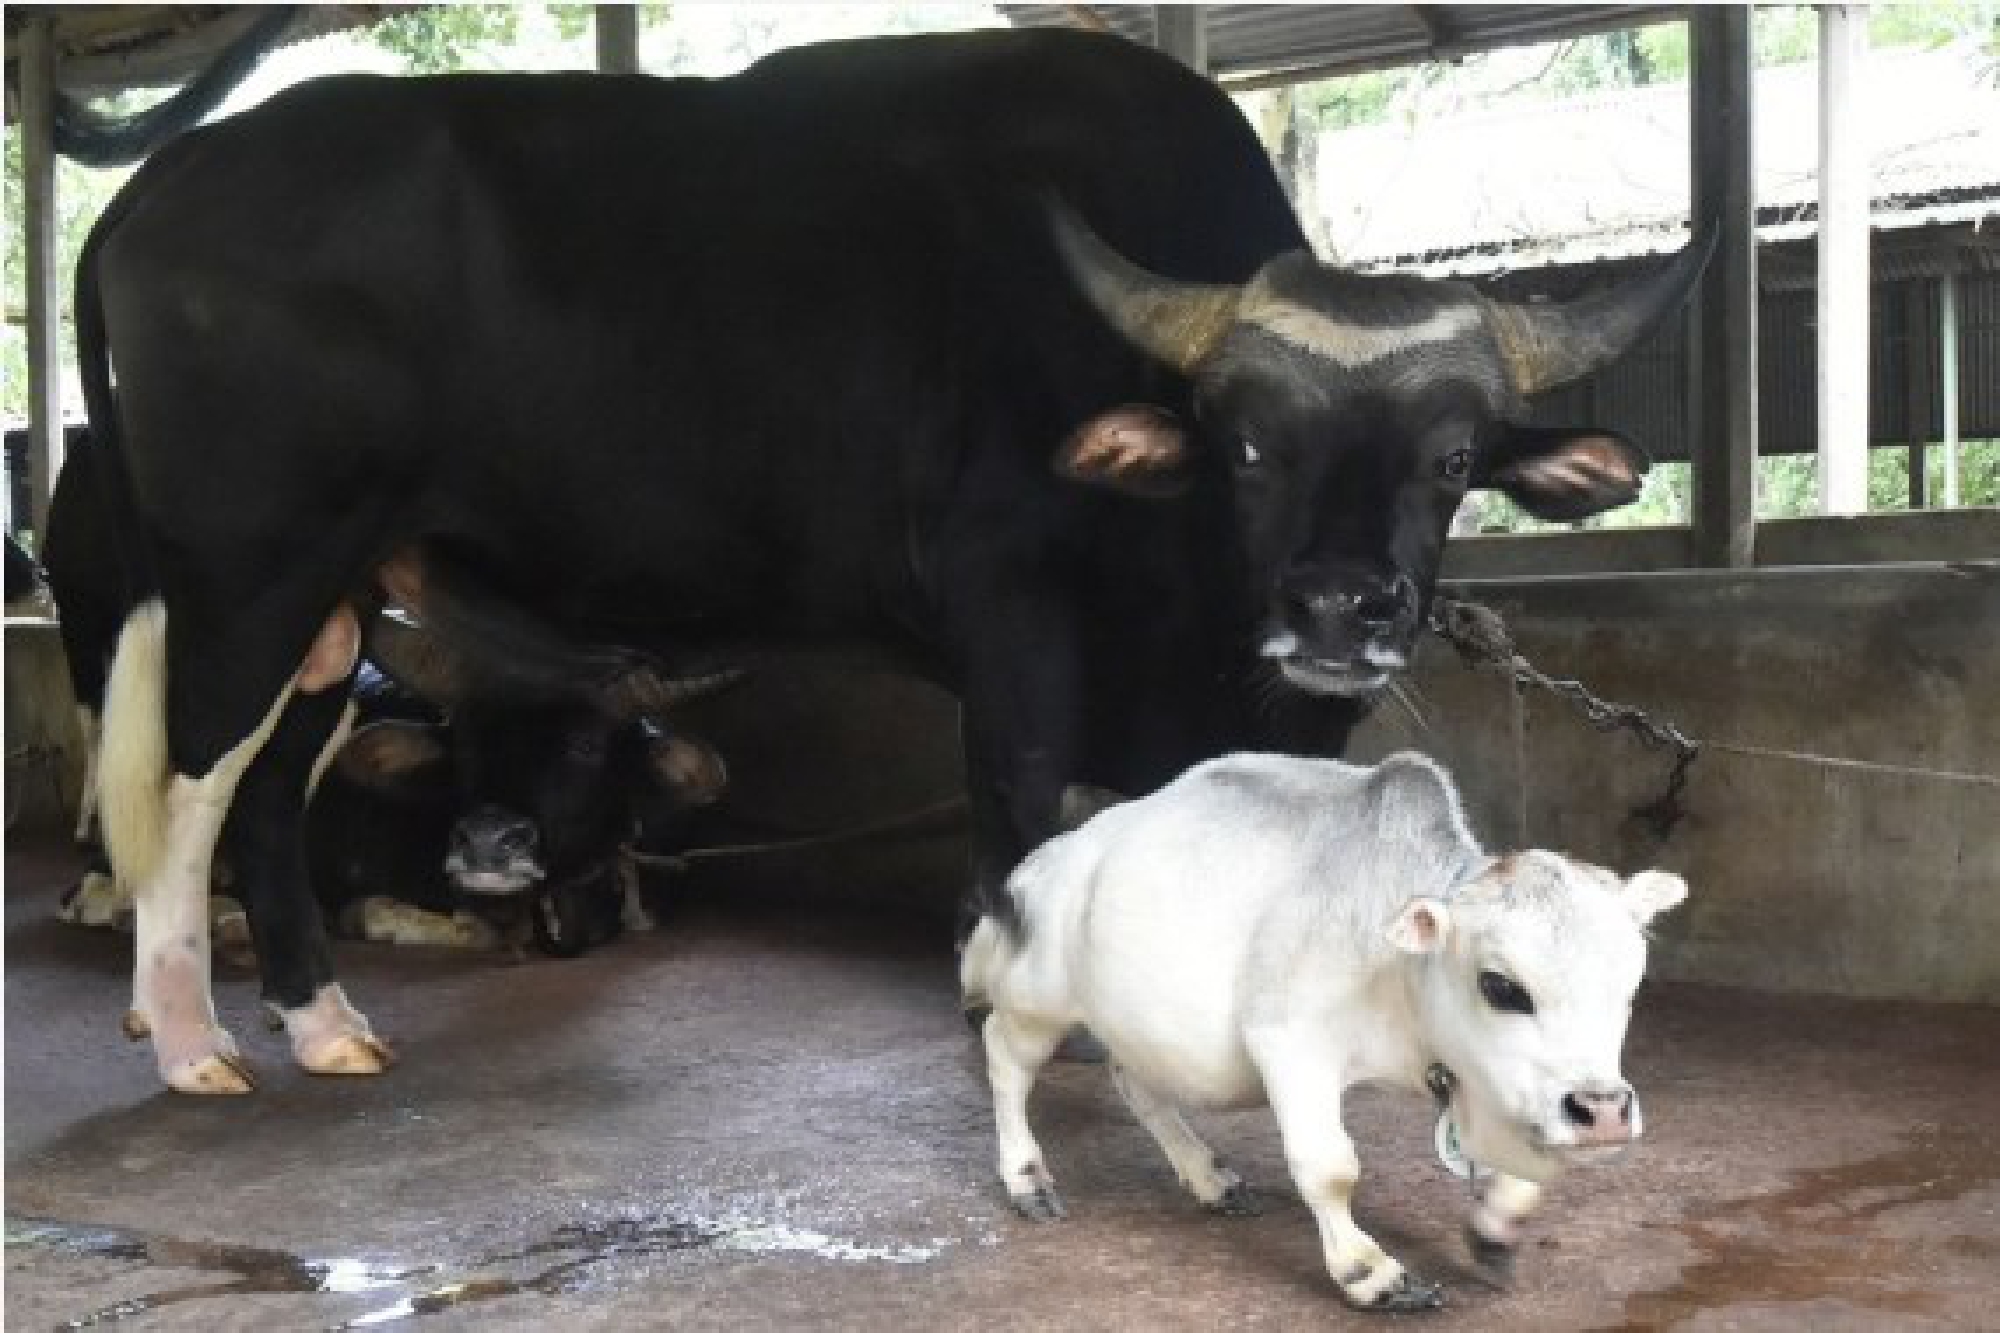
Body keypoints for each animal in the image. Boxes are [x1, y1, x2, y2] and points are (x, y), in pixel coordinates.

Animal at [77, 29, 1708, 1092]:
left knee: (267, 795)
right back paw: (190, 1039)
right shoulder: (1013, 627)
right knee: (186, 787)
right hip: (246, 570)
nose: (1339, 610)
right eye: (1244, 443)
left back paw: (321, 1024)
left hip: (340, 598)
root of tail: (160, 184)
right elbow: (1019, 819)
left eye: (1450, 460)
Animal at [961, 751, 1687, 1310]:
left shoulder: (1493, 1082)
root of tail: (1041, 862)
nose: (1605, 1110)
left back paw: (1207, 1175)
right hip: (1036, 1000)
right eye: (1502, 985)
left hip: (1136, 1022)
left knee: (1135, 1083)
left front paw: (1496, 1228)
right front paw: (1370, 1272)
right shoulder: (1289, 1038)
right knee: (1004, 1055)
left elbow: (1529, 1168)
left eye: (1631, 982)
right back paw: (1027, 1176)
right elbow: (1329, 1167)